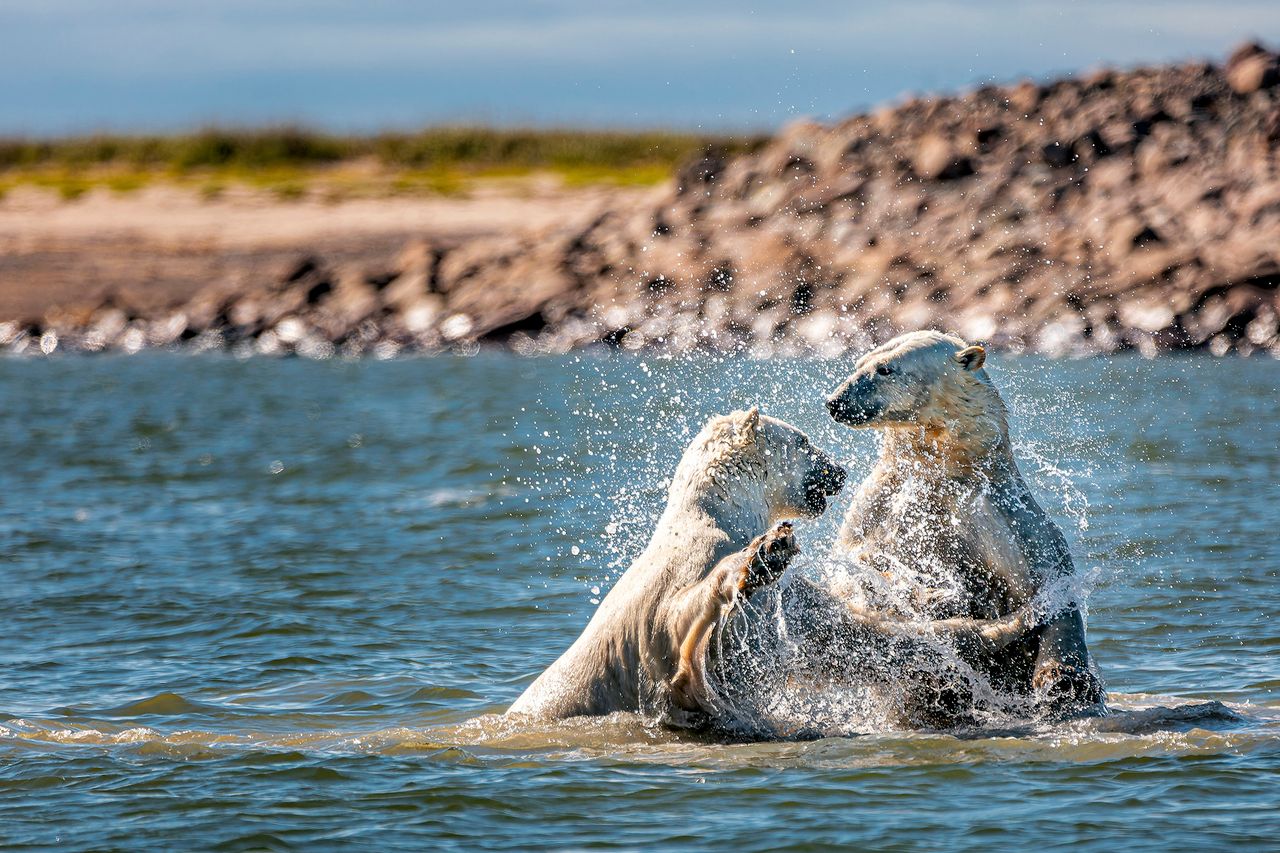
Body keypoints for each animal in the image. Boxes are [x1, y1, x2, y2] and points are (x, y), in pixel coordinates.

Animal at [504, 407, 1034, 732]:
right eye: (803, 439)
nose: (839, 470)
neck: (713, 514)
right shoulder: (681, 587)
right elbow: (687, 620)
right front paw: (769, 551)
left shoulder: (787, 607)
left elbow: (843, 632)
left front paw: (988, 620)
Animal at [824, 326, 1105, 717]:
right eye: (858, 363)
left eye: (885, 369)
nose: (835, 401)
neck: (945, 469)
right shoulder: (880, 503)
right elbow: (850, 565)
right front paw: (931, 593)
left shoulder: (1004, 516)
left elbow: (1049, 583)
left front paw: (1063, 679)